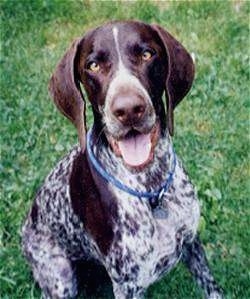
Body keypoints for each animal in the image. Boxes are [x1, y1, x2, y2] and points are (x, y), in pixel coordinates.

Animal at [21, 19, 222, 298]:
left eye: (147, 54)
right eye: (93, 65)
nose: (128, 110)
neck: (150, 185)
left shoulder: (192, 241)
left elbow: (211, 286)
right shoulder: (128, 285)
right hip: (60, 278)